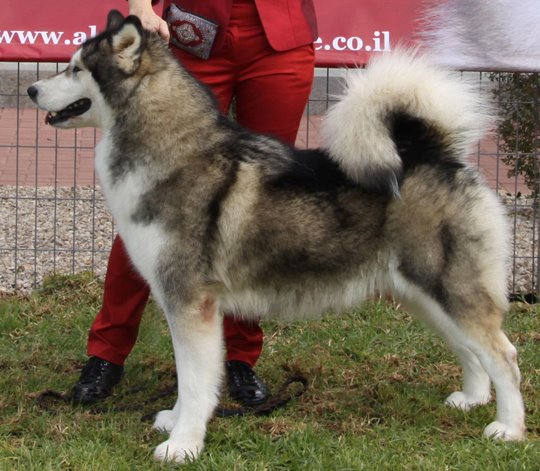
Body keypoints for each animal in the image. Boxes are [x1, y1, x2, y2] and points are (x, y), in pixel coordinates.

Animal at [27, 10, 524, 464]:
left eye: (75, 69)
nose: (32, 90)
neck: (173, 151)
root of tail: (434, 154)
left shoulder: (190, 303)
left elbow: (195, 380)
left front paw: (183, 444)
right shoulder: (181, 303)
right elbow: (189, 380)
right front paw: (176, 421)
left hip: (450, 290)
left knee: (505, 355)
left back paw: (507, 427)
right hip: (424, 296)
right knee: (471, 351)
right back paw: (472, 399)